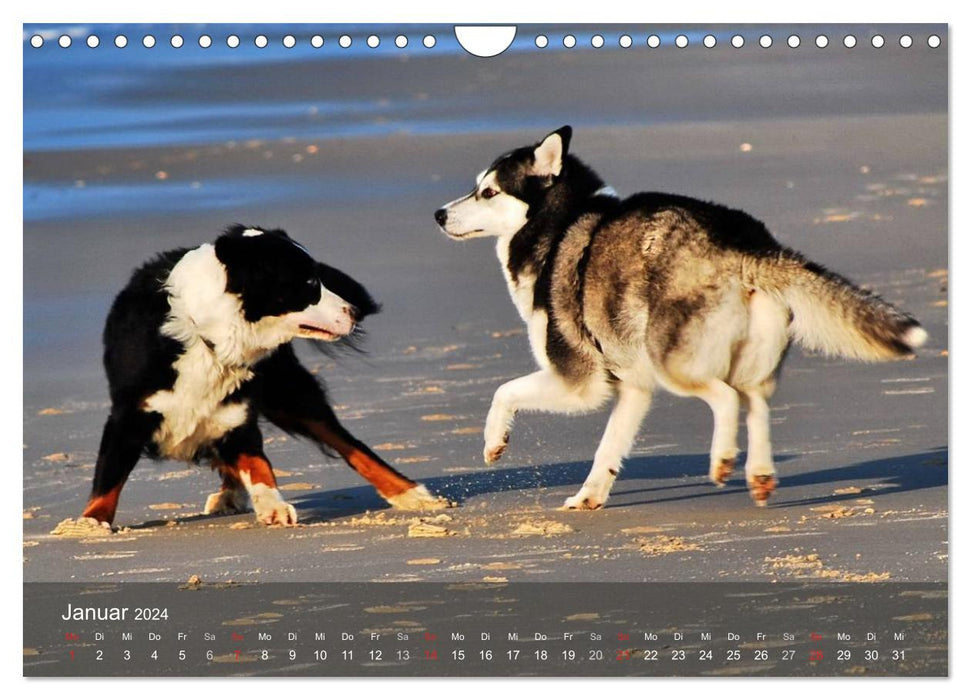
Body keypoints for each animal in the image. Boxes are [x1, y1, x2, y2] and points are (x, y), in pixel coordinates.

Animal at [83, 227, 448, 528]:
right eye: (310, 284)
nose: (354, 312)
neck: (208, 340)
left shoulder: (237, 415)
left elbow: (259, 464)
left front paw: (273, 505)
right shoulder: (128, 416)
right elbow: (108, 476)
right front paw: (90, 523)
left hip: (290, 393)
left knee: (352, 445)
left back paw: (410, 493)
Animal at [436, 127, 932, 508]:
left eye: (488, 192)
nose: (438, 214)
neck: (558, 224)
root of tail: (746, 243)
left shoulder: (580, 382)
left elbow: (503, 392)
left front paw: (494, 442)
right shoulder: (633, 388)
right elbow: (608, 448)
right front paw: (589, 498)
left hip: (671, 361)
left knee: (726, 398)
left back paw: (723, 459)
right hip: (745, 359)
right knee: (756, 403)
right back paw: (759, 473)